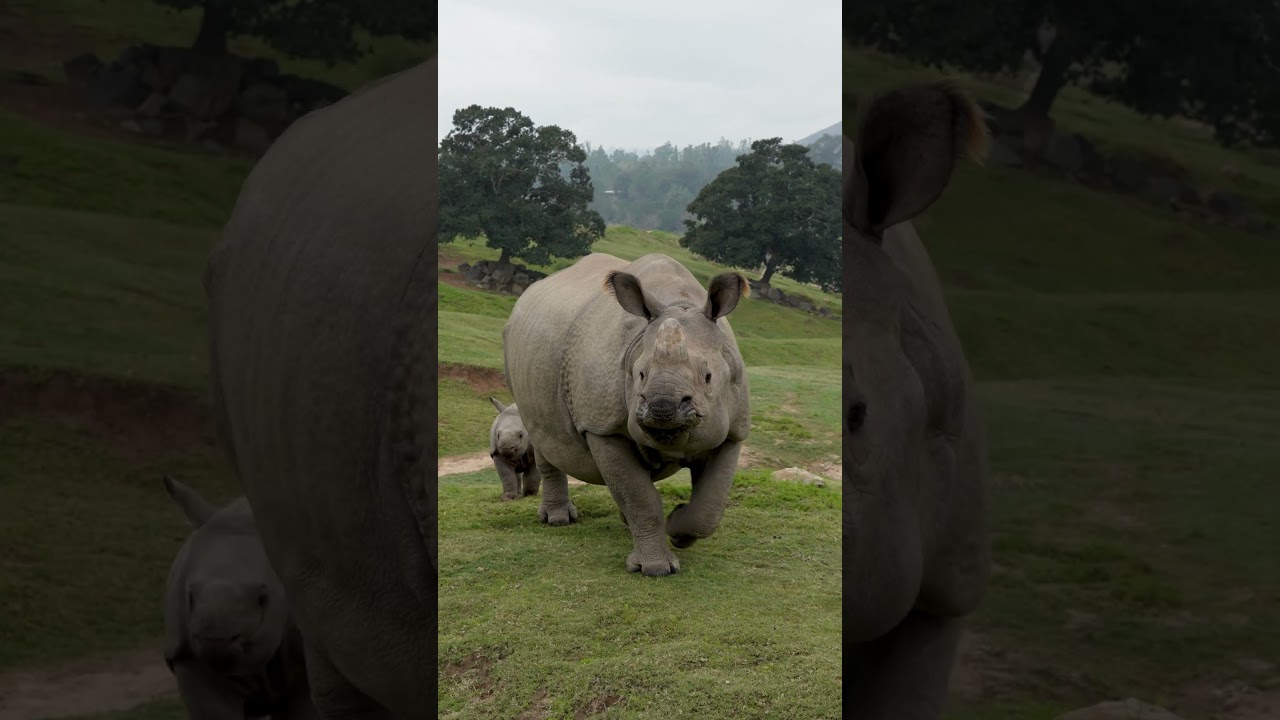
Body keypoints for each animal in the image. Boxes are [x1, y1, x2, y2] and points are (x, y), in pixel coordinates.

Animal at [502, 252, 751, 576]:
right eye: (640, 374)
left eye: (708, 377)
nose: (662, 407)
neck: (678, 301)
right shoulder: (601, 427)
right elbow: (639, 496)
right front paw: (656, 569)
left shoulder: (733, 430)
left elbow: (709, 506)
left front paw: (679, 529)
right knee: (542, 437)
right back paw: (558, 520)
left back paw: (624, 524)